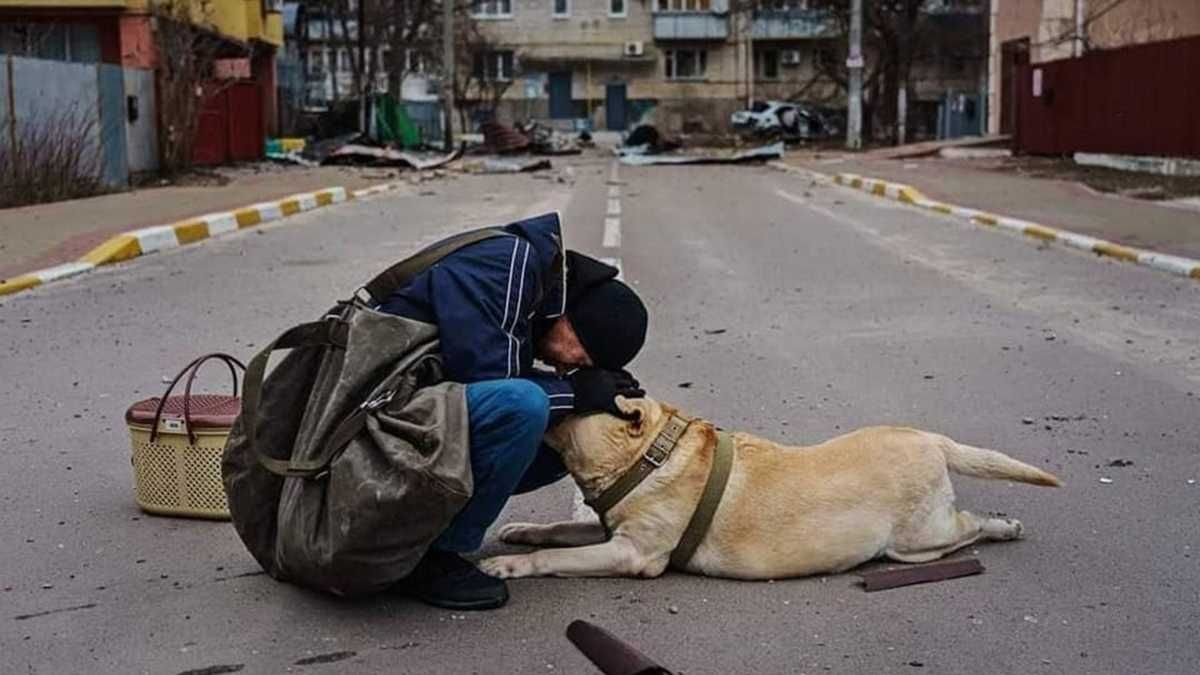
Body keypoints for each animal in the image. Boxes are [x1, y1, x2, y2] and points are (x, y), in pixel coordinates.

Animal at [477, 393, 1060, 578]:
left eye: (576, 391)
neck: (645, 458)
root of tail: (932, 438)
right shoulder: (607, 532)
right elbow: (556, 531)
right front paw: (522, 531)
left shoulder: (630, 553)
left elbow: (556, 558)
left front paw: (512, 566)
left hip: (916, 542)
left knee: (970, 526)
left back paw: (1004, 526)